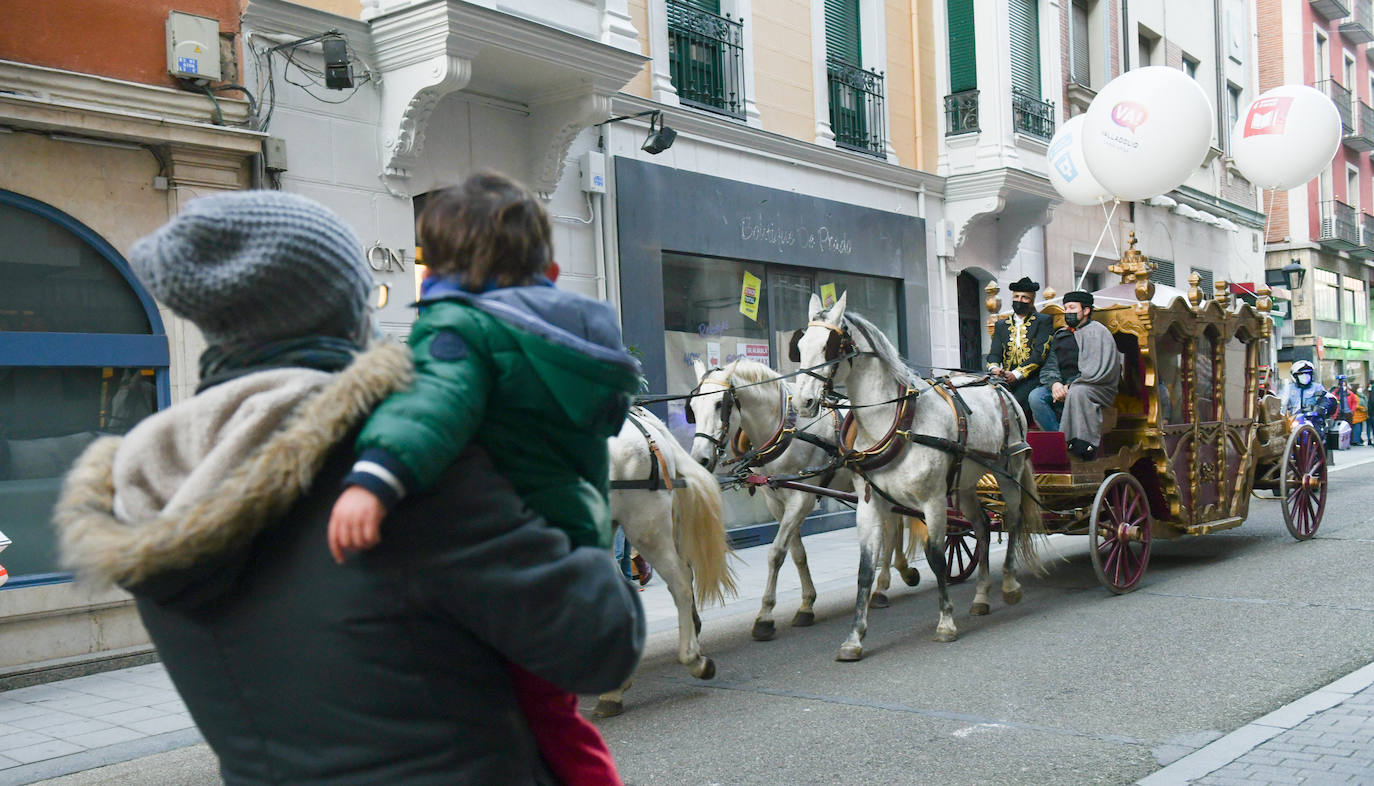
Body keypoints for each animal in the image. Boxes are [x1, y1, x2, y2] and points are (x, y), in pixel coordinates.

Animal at [687, 360, 923, 640]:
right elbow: (797, 553)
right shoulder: (776, 501)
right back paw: (898, 573)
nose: (700, 459)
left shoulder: (801, 500)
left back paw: (884, 585)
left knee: (892, 529)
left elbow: (776, 553)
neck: (786, 429)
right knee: (893, 527)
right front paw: (806, 605)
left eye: (718, 404)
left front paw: (765, 616)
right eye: (692, 408)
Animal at [791, 291, 1033, 659]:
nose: (802, 402)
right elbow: (865, 568)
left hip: (1009, 471)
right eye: (801, 345)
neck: (896, 422)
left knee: (1015, 519)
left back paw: (1009, 584)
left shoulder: (932, 500)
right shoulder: (870, 504)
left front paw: (945, 622)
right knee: (981, 529)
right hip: (965, 485)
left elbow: (936, 556)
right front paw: (854, 637)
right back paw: (980, 596)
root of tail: (998, 383)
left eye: (830, 346)